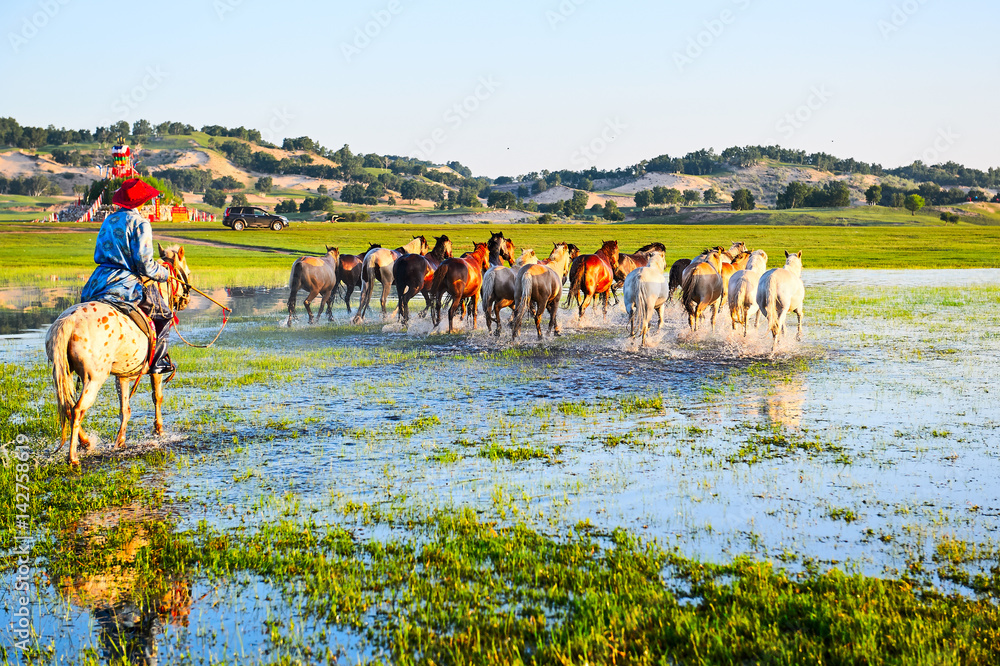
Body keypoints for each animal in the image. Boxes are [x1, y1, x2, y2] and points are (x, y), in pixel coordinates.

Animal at [45, 241, 193, 464]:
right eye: (188, 272)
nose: (186, 301)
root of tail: (69, 320)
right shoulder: (156, 369)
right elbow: (157, 396)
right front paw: (158, 431)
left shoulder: (123, 375)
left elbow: (125, 408)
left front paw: (120, 442)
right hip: (94, 378)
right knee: (78, 409)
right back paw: (73, 457)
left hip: (64, 374)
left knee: (68, 408)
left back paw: (86, 443)